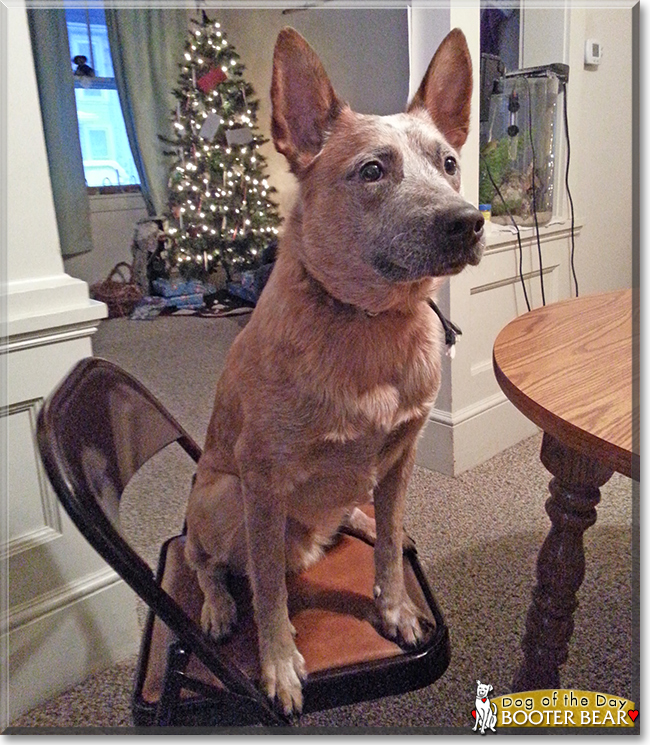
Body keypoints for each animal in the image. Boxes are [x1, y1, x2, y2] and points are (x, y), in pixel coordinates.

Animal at [185, 27, 484, 716]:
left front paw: (395, 607)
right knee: (203, 560)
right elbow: (269, 591)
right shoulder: (261, 483)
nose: (469, 221)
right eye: (373, 171)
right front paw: (278, 663)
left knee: (353, 512)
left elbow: (389, 547)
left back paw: (363, 522)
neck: (370, 325)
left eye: (448, 164)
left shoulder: (400, 455)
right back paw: (216, 604)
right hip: (218, 495)